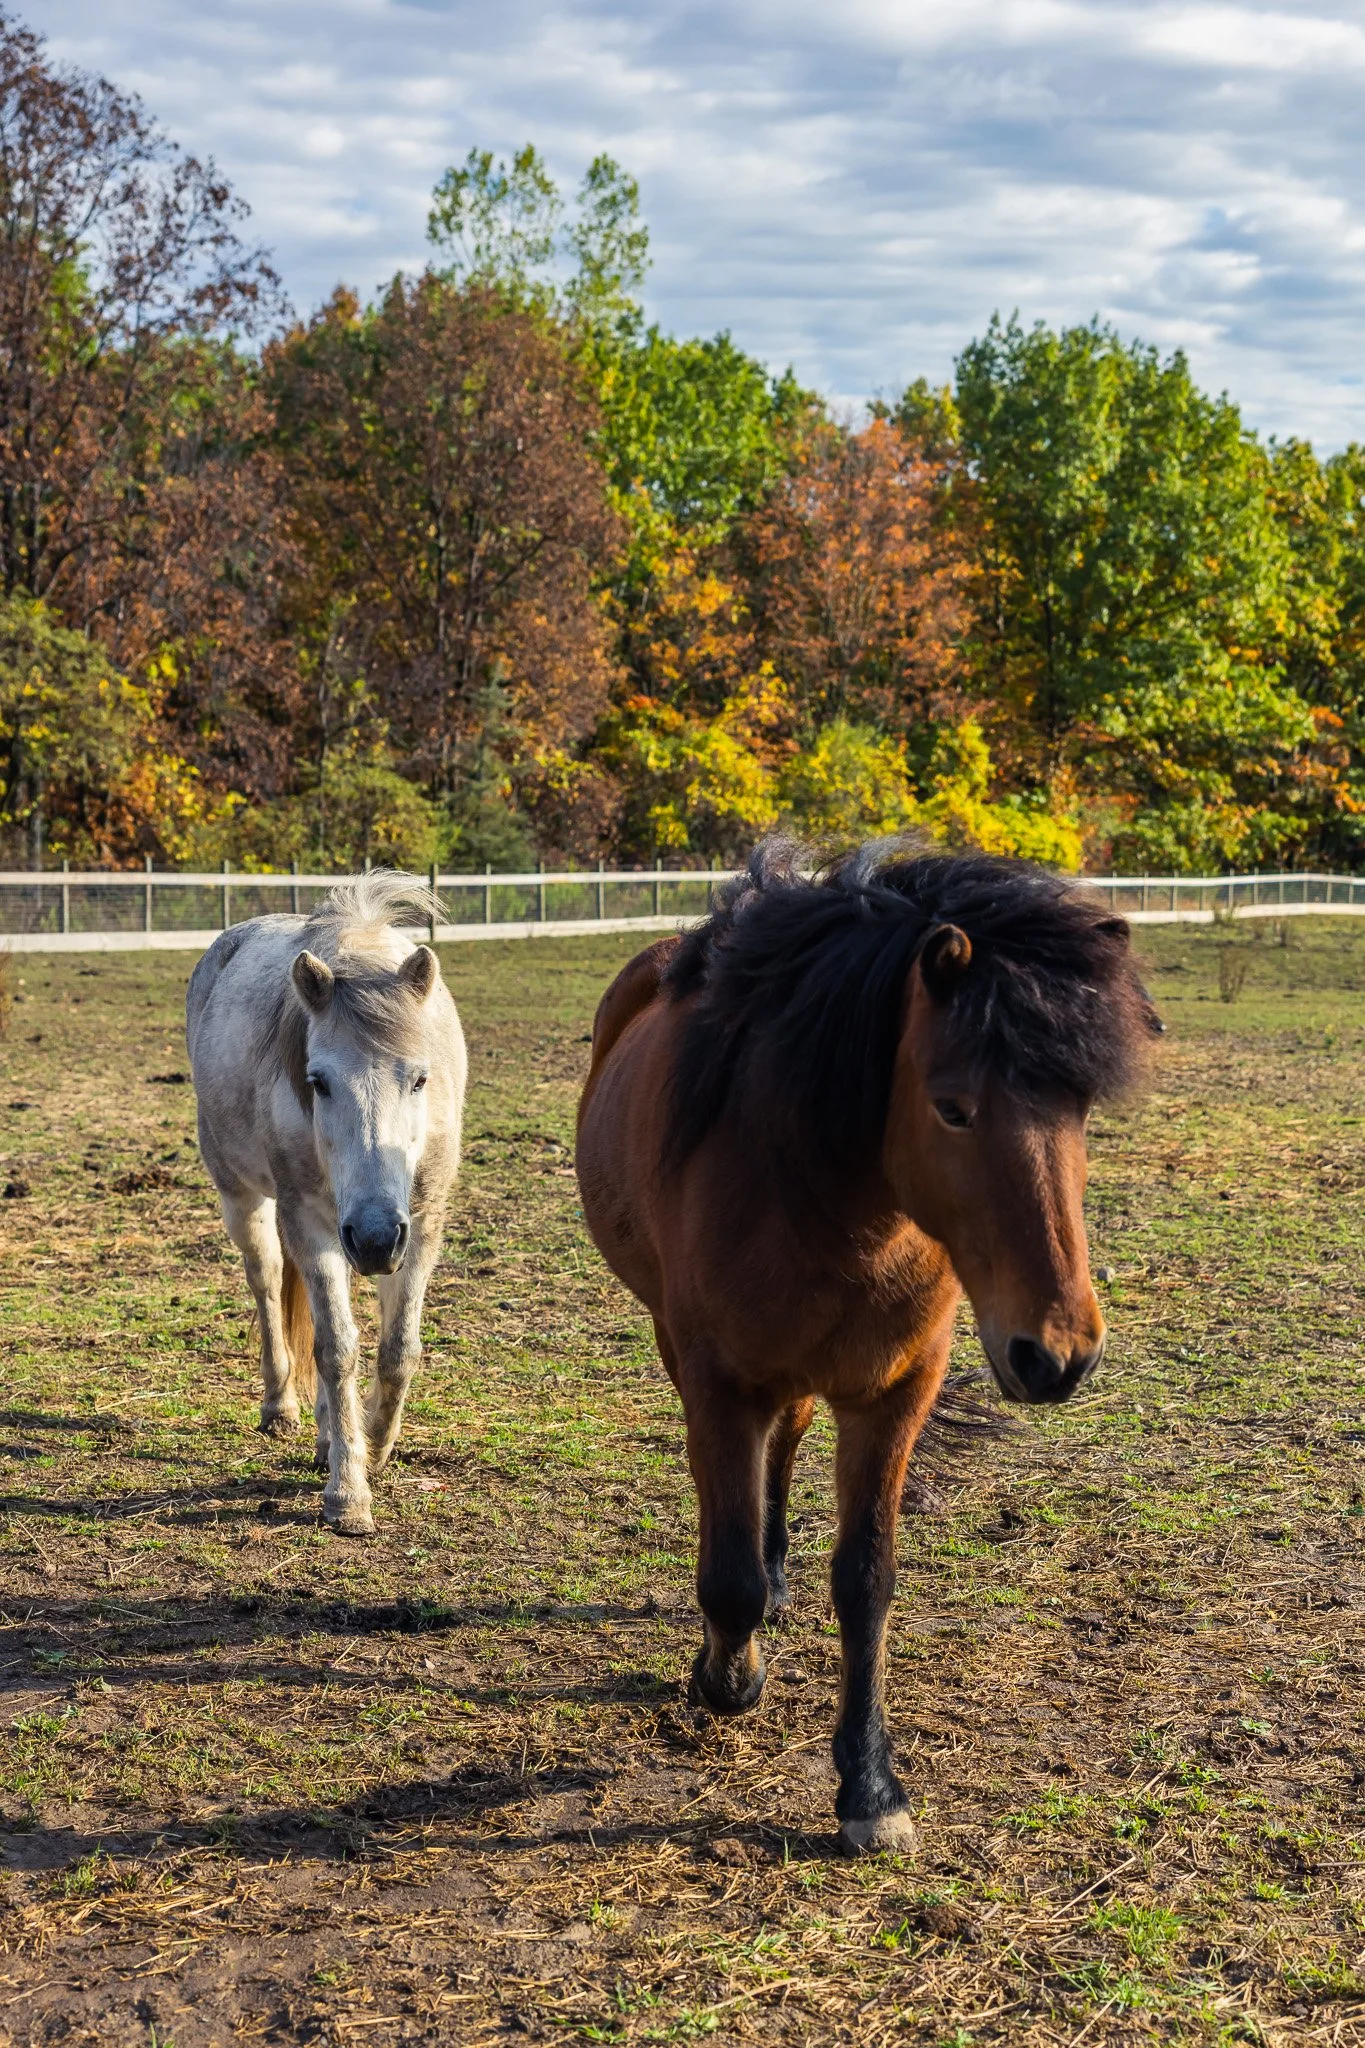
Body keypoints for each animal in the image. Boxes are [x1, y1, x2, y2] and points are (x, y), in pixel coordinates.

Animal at [186, 871, 467, 1536]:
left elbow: (398, 1347)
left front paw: (374, 1444)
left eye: (421, 1079)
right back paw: (282, 1407)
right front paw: (348, 1494)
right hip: (246, 1198)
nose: (373, 1238)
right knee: (268, 1286)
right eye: (318, 1081)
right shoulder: (312, 1224)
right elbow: (336, 1348)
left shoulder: (421, 1223)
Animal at [575, 840, 1159, 1853]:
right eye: (953, 1108)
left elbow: (866, 1581)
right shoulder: (718, 1379)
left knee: (785, 1447)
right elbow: (726, 1576)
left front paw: (870, 1786)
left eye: (1081, 1108)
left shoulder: (896, 1392)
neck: (824, 1196)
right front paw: (726, 1676)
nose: (1057, 1352)